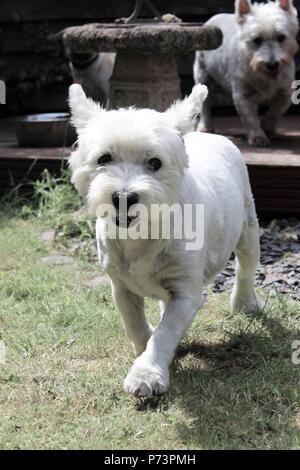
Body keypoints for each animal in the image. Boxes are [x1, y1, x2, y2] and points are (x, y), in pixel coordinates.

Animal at [69, 84, 262, 396]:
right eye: (104, 158)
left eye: (154, 163)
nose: (124, 197)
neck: (141, 233)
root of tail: (208, 134)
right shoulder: (120, 287)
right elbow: (135, 324)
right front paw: (143, 349)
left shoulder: (185, 292)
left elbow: (165, 333)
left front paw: (147, 374)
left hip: (248, 226)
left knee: (246, 267)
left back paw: (245, 303)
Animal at [193, 0, 298, 146]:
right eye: (257, 40)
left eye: (281, 37)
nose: (272, 65)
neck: (264, 76)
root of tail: (212, 18)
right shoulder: (243, 93)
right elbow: (249, 117)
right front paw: (258, 137)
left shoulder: (286, 92)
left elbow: (275, 111)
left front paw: (267, 127)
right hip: (203, 75)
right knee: (205, 104)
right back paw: (205, 128)